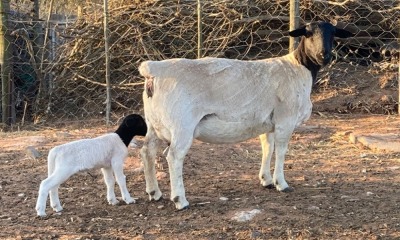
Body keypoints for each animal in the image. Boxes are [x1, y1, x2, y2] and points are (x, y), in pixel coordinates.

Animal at [138, 21, 354, 209]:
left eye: (333, 34)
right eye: (308, 33)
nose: (324, 55)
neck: (299, 68)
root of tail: (154, 70)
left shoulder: (268, 122)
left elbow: (268, 148)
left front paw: (266, 180)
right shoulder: (285, 118)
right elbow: (281, 151)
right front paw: (281, 183)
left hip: (154, 123)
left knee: (147, 151)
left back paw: (154, 193)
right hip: (181, 124)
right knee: (174, 156)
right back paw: (180, 200)